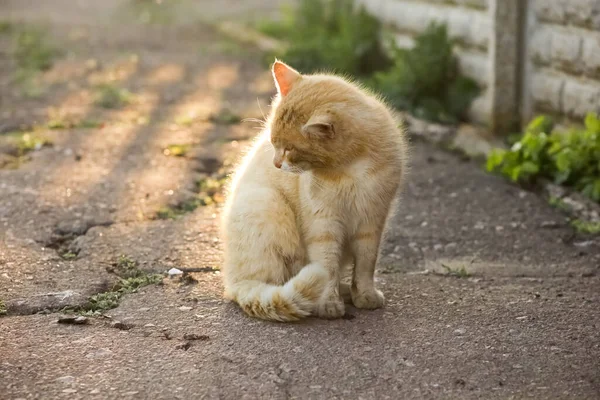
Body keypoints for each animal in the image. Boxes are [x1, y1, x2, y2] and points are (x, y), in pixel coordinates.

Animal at [220, 61, 408, 322]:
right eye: (273, 143)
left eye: (289, 149)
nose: (276, 164)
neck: (350, 167)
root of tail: (233, 281)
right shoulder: (323, 224)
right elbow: (327, 266)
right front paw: (328, 304)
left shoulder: (372, 221)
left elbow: (365, 265)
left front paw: (365, 295)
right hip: (266, 204)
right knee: (272, 283)